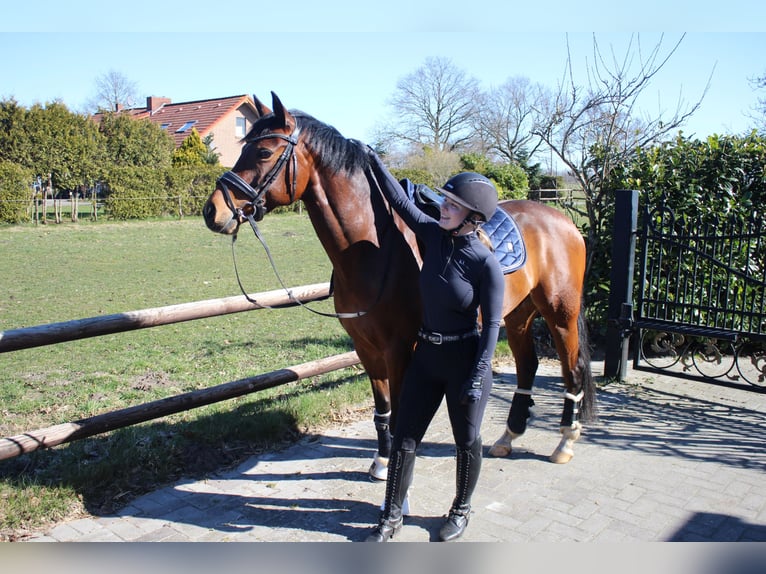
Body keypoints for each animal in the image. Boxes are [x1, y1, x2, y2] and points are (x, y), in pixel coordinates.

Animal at [204, 92, 600, 482]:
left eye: (264, 152)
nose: (213, 211)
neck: (372, 250)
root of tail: (562, 220)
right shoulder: (366, 349)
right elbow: (383, 411)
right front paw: (381, 461)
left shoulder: (400, 349)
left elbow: (401, 413)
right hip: (517, 314)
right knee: (528, 366)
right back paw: (508, 437)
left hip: (560, 313)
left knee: (573, 370)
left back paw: (565, 441)